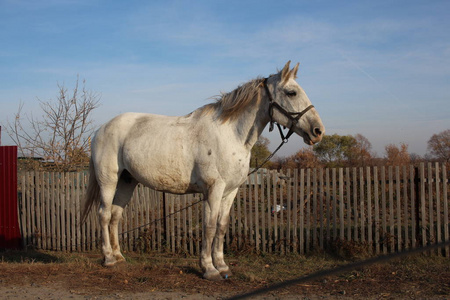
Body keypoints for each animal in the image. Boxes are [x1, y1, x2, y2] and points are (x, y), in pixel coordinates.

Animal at [81, 61, 324, 282]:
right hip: (108, 180)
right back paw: (108, 259)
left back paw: (119, 256)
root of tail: (100, 129)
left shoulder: (230, 191)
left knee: (115, 216)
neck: (229, 134)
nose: (318, 131)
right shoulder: (213, 190)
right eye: (291, 92)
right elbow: (209, 226)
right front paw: (209, 269)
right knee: (103, 214)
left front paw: (223, 265)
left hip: (127, 181)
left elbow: (222, 227)